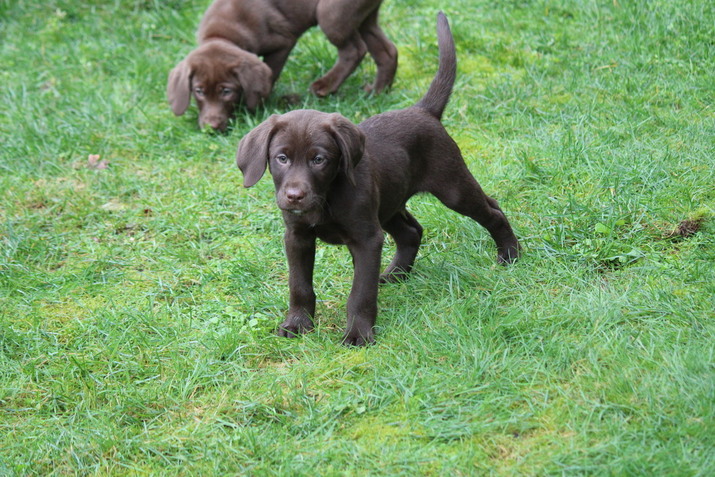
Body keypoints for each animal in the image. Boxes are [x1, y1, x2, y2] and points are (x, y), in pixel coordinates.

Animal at [235, 13, 520, 344]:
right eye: (281, 158)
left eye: (319, 160)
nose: (294, 196)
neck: (327, 197)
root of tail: (423, 110)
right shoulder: (297, 237)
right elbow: (300, 285)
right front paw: (297, 323)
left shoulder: (367, 239)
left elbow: (361, 292)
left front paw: (358, 335)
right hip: (389, 201)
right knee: (412, 231)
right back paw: (397, 274)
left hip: (451, 187)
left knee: (491, 210)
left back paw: (510, 254)